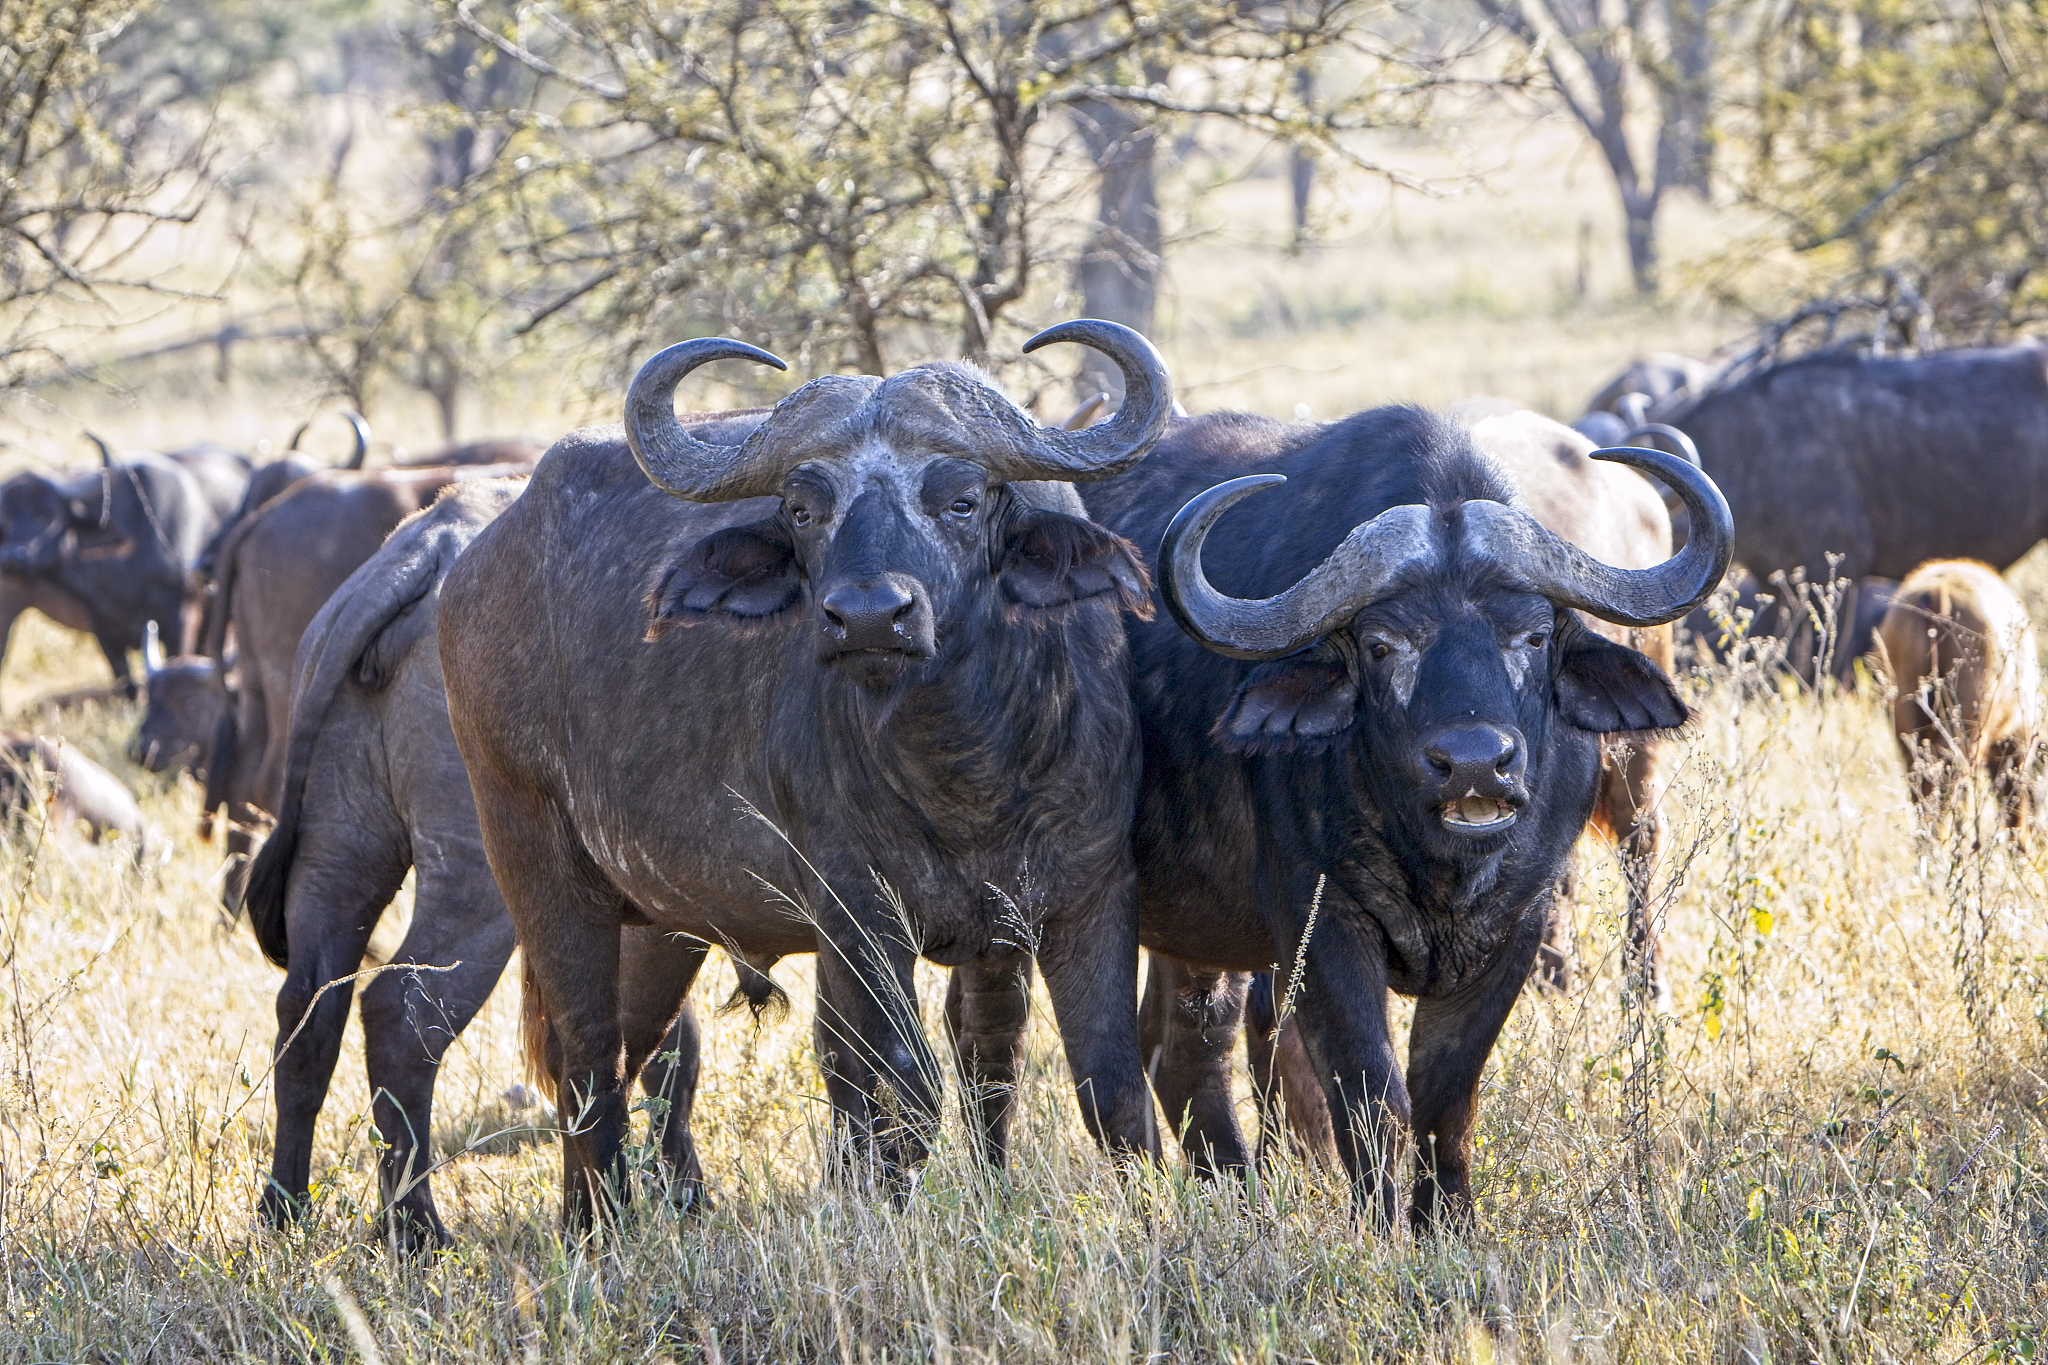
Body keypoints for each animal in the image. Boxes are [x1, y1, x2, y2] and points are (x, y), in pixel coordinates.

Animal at [441, 321, 1170, 1227]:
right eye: (802, 508)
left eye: (962, 499)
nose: (869, 617)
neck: (967, 767)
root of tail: (473, 569)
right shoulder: (859, 916)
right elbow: (903, 1086)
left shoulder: (1089, 897)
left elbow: (1100, 1085)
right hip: (533, 855)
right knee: (585, 1051)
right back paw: (593, 1227)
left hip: (660, 918)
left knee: (633, 1044)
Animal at [1080, 405, 1731, 1228]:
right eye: (1384, 644)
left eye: (1533, 636)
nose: (1477, 762)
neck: (1438, 864)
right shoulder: (1319, 924)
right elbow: (1372, 1094)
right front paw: (1381, 1223)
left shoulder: (1520, 924)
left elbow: (1445, 1094)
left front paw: (1447, 1220)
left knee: (1180, 1039)